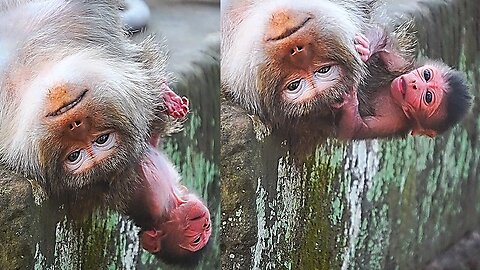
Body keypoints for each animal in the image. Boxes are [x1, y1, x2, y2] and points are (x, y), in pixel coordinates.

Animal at [338, 24, 472, 140]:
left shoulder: (394, 122)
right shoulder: (401, 65)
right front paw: (367, 48)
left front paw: (351, 102)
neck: (392, 95)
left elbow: (355, 130)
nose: (414, 84)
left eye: (428, 96)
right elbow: (385, 39)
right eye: (426, 75)